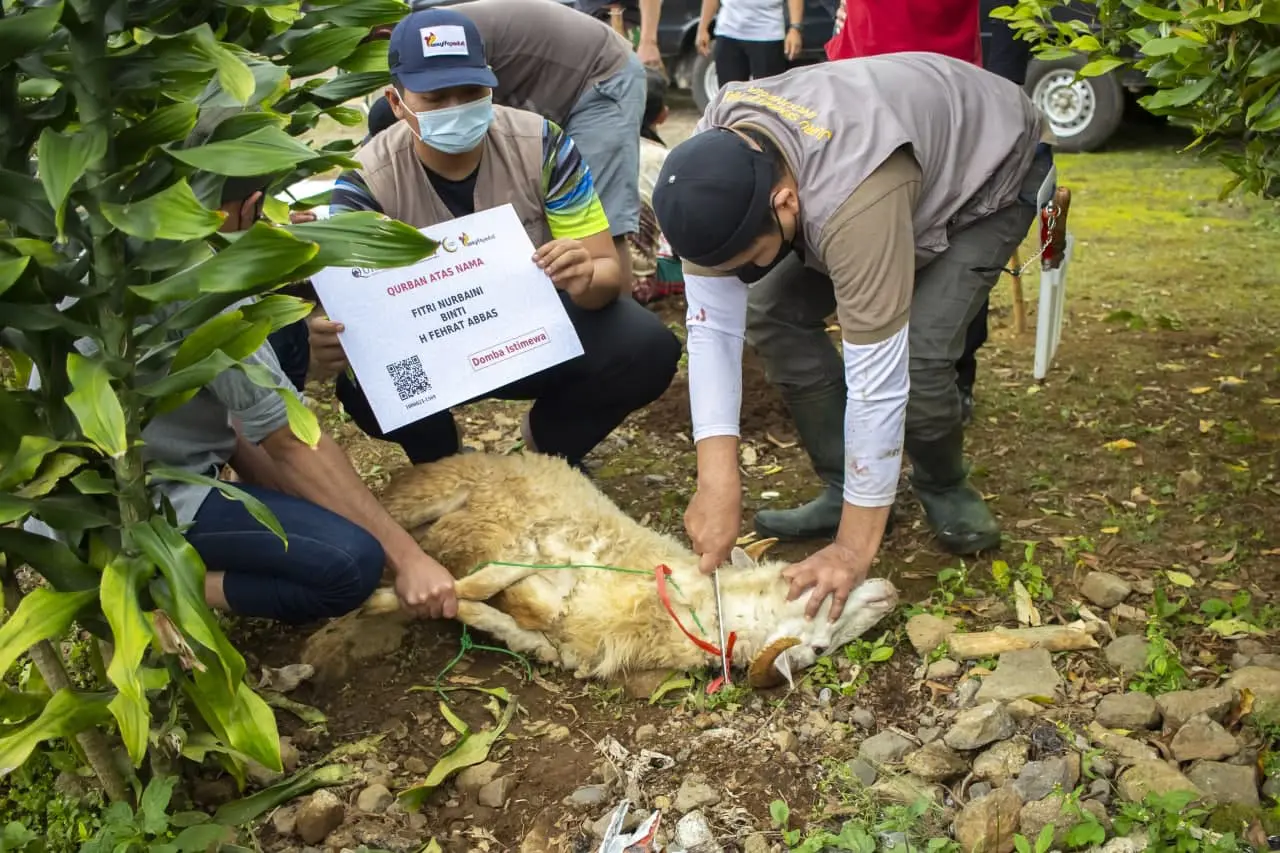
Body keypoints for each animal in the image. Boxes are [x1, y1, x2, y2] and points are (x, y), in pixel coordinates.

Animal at [360, 450, 901, 686]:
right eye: (820, 645)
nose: (890, 591)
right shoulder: (568, 548)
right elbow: (491, 582)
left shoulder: (558, 645)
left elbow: (491, 612)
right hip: (432, 490)